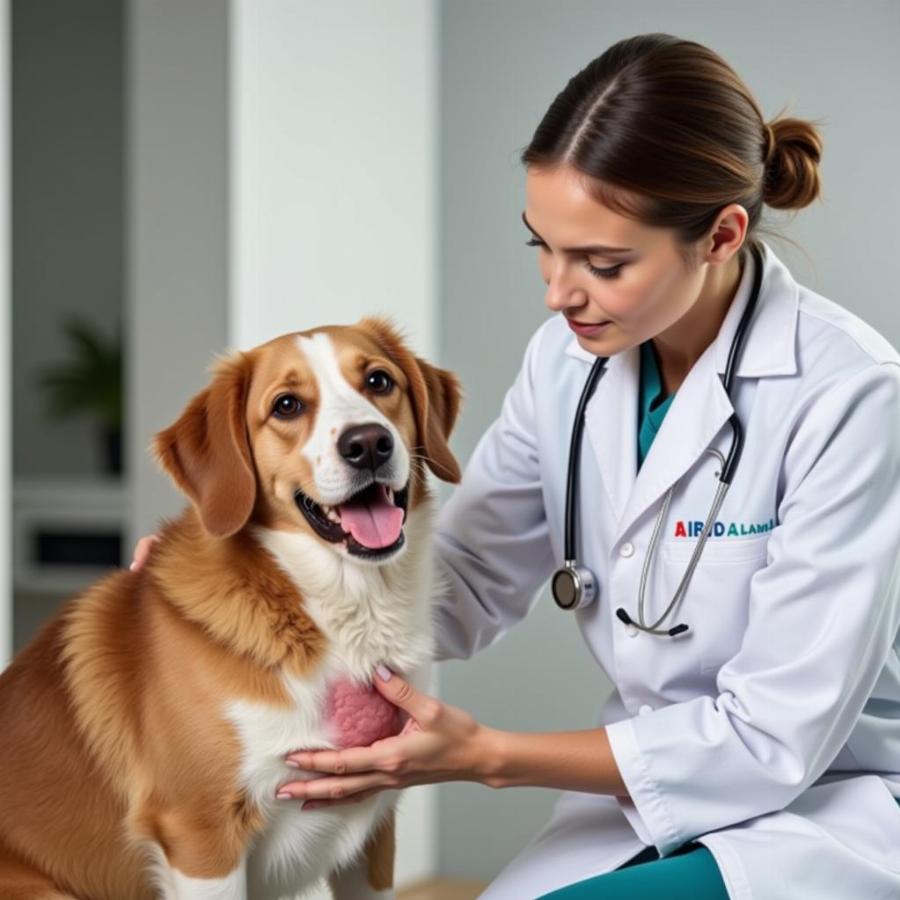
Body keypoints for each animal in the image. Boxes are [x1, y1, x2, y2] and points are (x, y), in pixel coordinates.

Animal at [0, 320, 464, 896]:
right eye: (287, 405)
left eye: (379, 380)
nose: (368, 444)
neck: (338, 607)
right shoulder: (201, 836)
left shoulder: (372, 837)